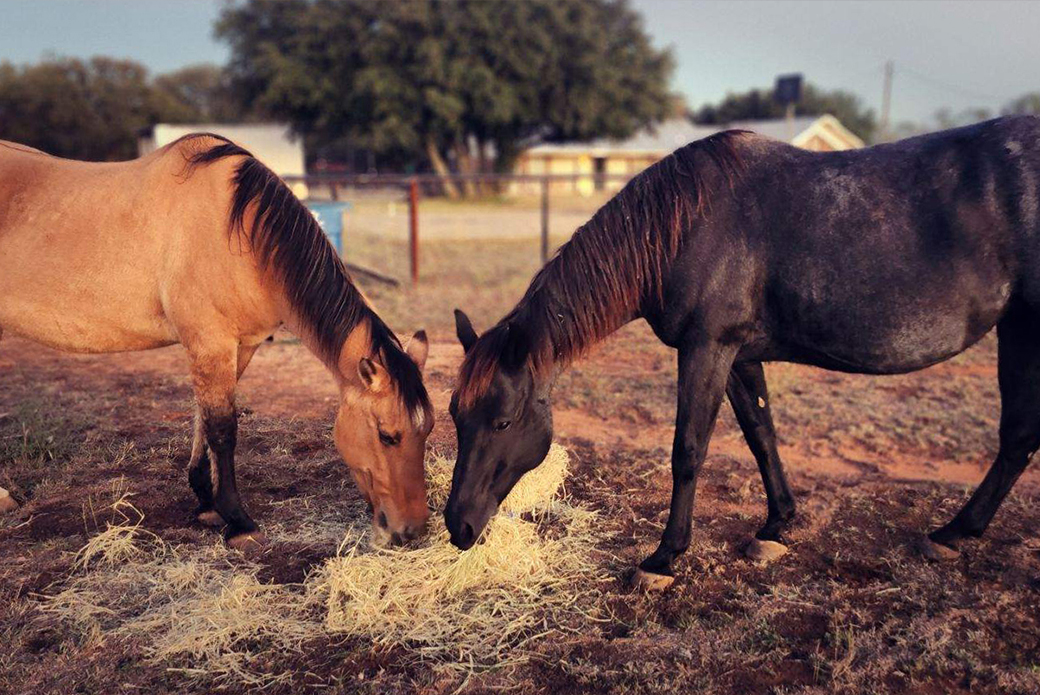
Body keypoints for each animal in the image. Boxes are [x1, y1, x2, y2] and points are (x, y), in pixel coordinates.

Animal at [0, 135, 430, 549]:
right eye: (387, 436)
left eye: (426, 430)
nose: (411, 531)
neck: (240, 237)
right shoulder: (210, 343)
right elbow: (222, 430)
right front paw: (239, 522)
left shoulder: (238, 346)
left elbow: (203, 420)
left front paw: (206, 503)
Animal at [445, 116, 1040, 590]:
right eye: (455, 415)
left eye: (502, 422)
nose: (457, 525)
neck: (684, 226)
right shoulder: (739, 356)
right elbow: (761, 434)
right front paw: (776, 525)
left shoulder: (707, 348)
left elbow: (688, 450)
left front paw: (663, 558)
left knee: (1017, 438)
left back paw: (953, 532)